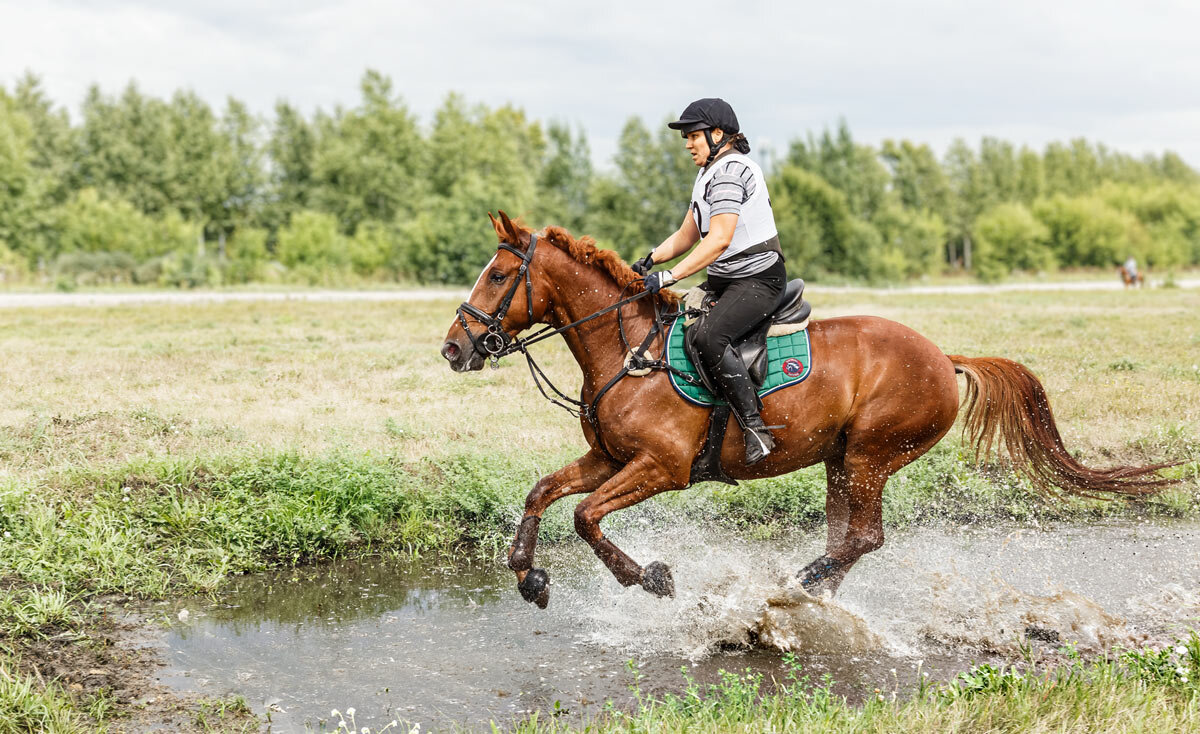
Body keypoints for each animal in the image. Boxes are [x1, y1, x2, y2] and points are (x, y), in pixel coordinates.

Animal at [444, 211, 1180, 606]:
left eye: (499, 275)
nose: (455, 347)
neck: (629, 352)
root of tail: (943, 356)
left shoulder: (660, 467)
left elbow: (585, 516)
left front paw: (648, 577)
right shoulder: (609, 457)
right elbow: (544, 493)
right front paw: (529, 577)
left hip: (872, 453)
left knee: (863, 537)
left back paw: (794, 588)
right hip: (841, 458)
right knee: (847, 538)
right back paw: (809, 592)